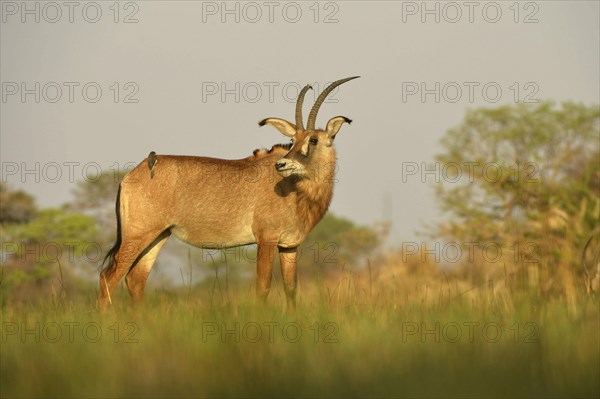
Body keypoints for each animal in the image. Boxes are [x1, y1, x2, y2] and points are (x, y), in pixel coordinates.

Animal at [100, 76, 358, 310]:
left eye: (313, 139)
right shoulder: (266, 239)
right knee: (108, 278)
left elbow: (291, 290)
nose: (282, 165)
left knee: (135, 280)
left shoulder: (289, 246)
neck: (295, 190)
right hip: (138, 235)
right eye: (293, 139)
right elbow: (263, 286)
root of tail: (135, 172)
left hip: (158, 235)